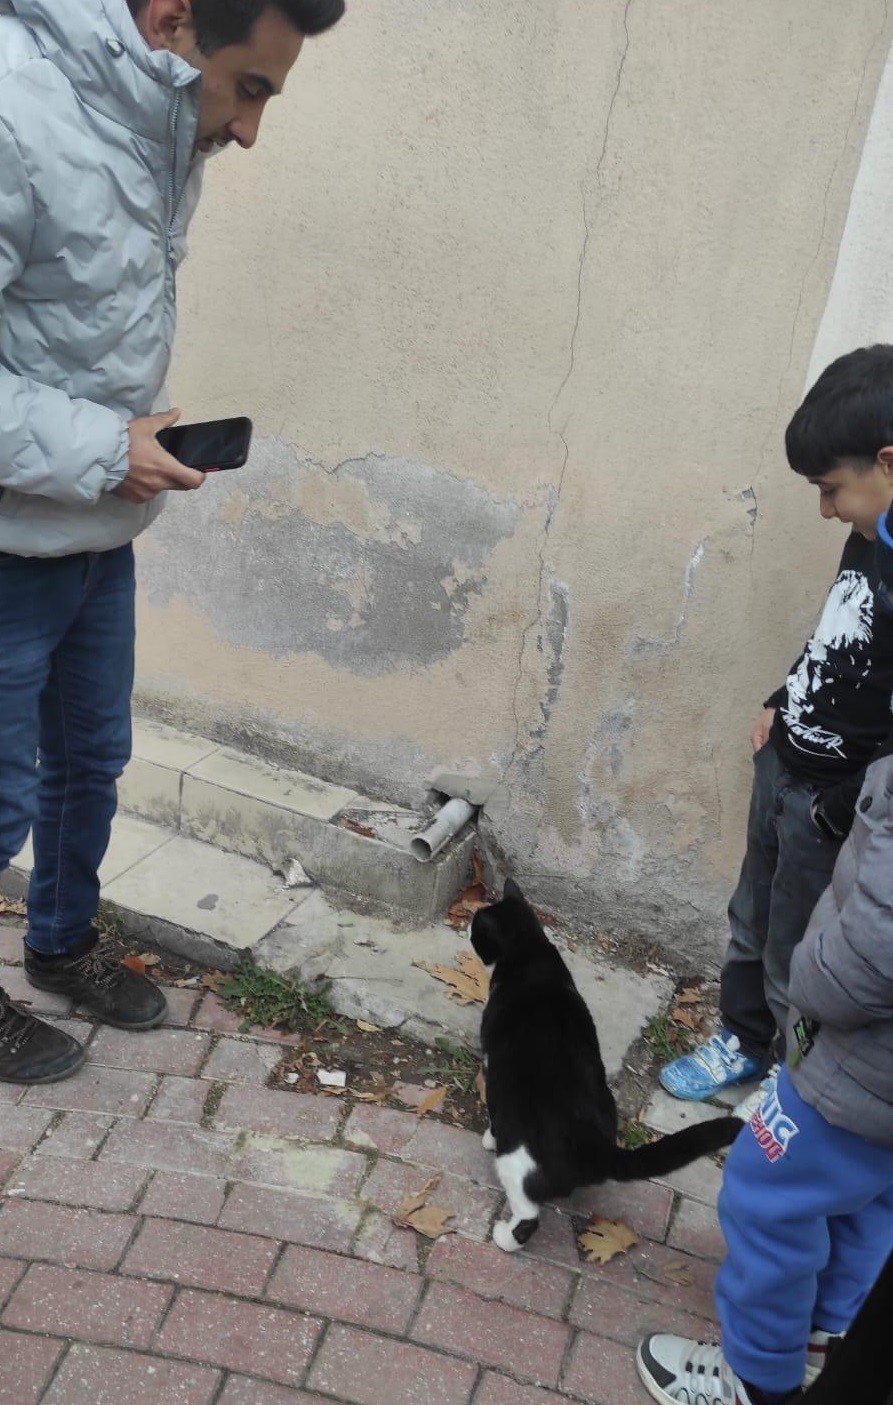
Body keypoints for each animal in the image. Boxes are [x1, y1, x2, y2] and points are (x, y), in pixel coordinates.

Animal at [471, 876, 741, 1253]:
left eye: (476, 932)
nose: (470, 926)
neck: (530, 954)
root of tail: (596, 1148)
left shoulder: (492, 1064)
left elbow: (493, 1115)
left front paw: (487, 1137)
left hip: (516, 1162)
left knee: (527, 1215)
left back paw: (504, 1236)